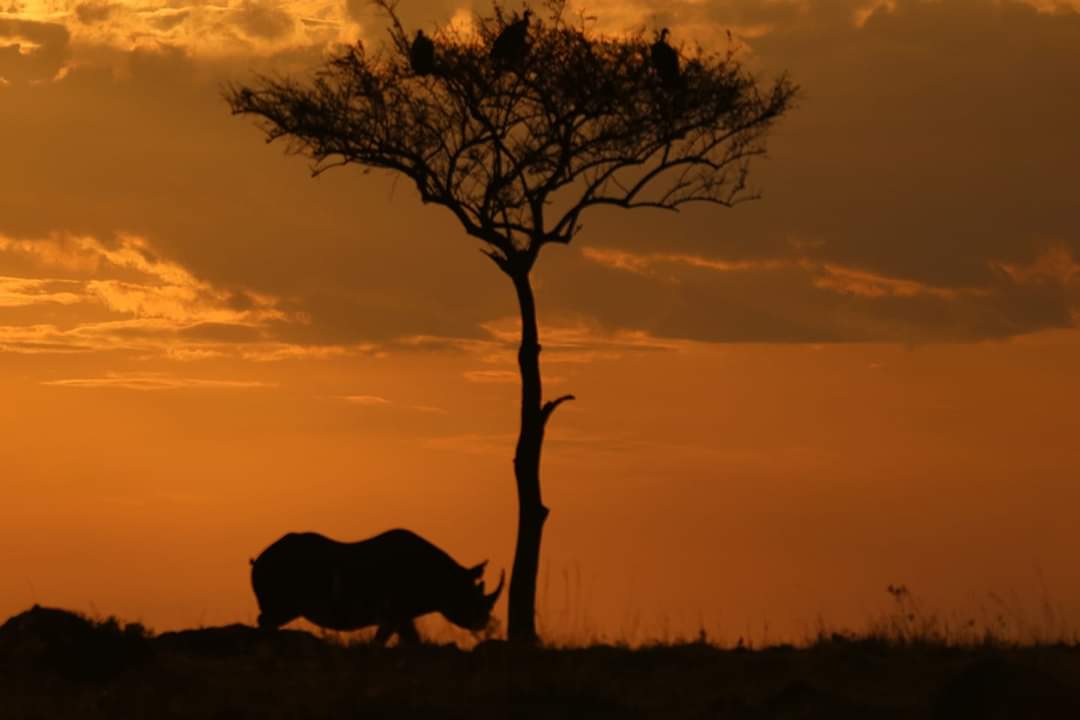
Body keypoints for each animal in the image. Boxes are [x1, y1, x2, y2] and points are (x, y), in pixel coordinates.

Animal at [250, 529, 504, 644]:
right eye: (471, 599)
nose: (483, 623)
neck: (444, 578)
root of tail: (258, 559)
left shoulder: (402, 613)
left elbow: (411, 639)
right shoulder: (394, 611)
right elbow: (384, 639)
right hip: (281, 575)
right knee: (273, 615)